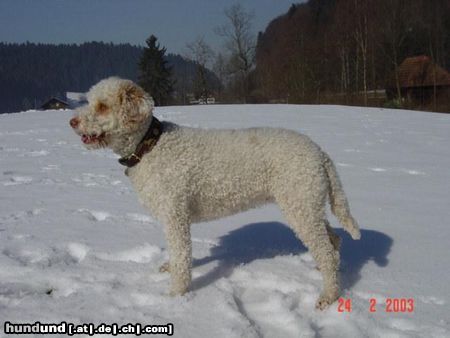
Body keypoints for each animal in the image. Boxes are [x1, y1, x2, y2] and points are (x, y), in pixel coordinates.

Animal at [69, 76, 358, 308]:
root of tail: (320, 153)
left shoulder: (176, 215)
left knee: (326, 250)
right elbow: (176, 256)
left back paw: (328, 295)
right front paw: (169, 269)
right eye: (90, 100)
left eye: (102, 106)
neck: (150, 146)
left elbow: (182, 257)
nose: (72, 121)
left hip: (300, 206)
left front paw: (175, 296)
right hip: (308, 204)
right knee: (333, 241)